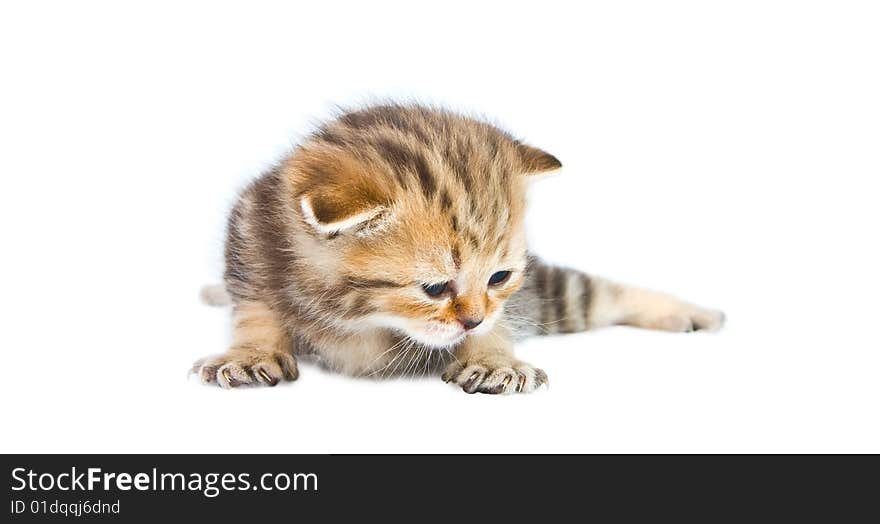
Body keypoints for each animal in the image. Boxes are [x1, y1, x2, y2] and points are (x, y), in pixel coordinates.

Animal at [191, 104, 720, 396]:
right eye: (434, 287)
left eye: (499, 278)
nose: (473, 320)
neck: (363, 316)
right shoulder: (250, 241)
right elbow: (256, 309)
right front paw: (250, 352)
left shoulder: (510, 302)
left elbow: (501, 327)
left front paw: (492, 359)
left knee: (595, 293)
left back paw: (695, 313)